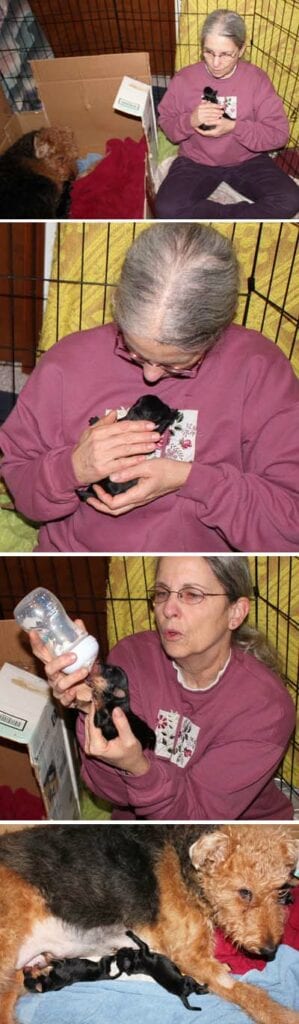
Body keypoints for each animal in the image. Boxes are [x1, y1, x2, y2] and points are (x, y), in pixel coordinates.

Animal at [23, 929, 207, 1007]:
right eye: (124, 952)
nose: (119, 949)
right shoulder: (145, 949)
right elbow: (139, 940)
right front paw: (129, 933)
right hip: (188, 980)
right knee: (196, 987)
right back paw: (205, 987)